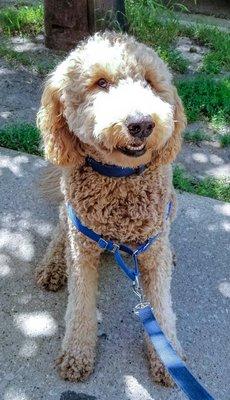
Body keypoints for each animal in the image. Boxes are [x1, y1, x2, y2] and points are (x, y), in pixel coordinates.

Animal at [36, 31, 187, 384]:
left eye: (149, 82)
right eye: (100, 83)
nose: (142, 124)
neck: (120, 179)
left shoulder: (152, 250)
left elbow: (161, 306)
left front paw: (168, 359)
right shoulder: (82, 250)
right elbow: (79, 306)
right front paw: (77, 353)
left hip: (172, 206)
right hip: (69, 215)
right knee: (60, 231)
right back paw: (53, 265)